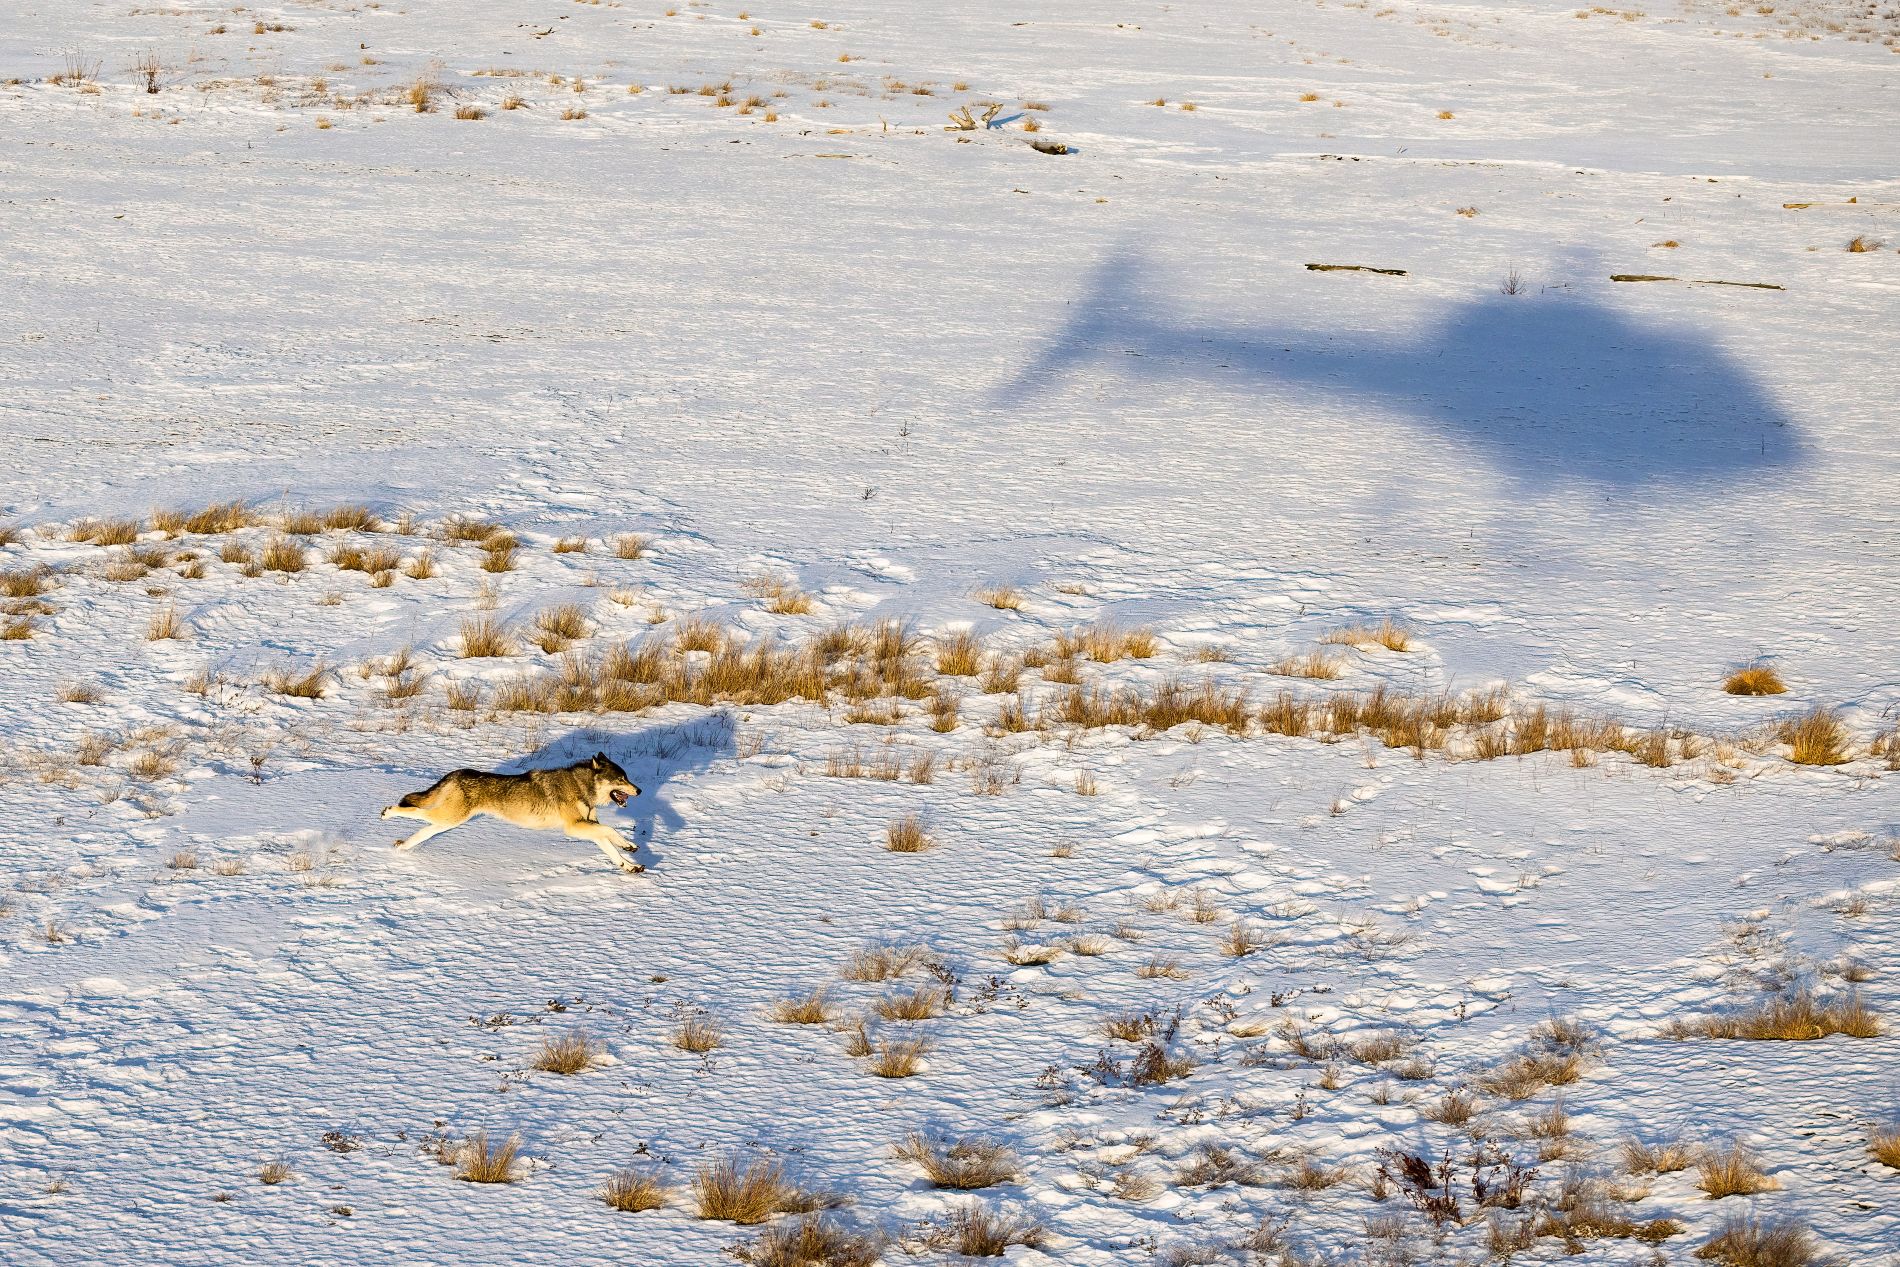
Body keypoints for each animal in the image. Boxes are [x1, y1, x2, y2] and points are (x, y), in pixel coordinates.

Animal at [380, 752, 645, 873]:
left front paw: (629, 862)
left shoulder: (589, 826)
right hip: (450, 818)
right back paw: (387, 813)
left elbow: (609, 843)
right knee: (411, 810)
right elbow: (610, 830)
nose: (640, 790)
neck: (582, 786)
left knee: (419, 831)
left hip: (446, 823)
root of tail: (457, 773)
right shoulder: (574, 827)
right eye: (621, 779)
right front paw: (628, 846)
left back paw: (400, 848)